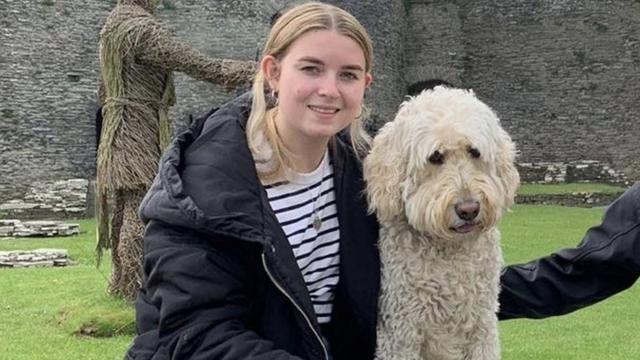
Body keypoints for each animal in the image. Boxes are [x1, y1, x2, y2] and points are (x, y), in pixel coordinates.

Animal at [364, 86, 520, 360]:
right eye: (435, 157)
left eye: (474, 151)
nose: (468, 209)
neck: (450, 255)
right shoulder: (401, 331)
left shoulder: (482, 325)